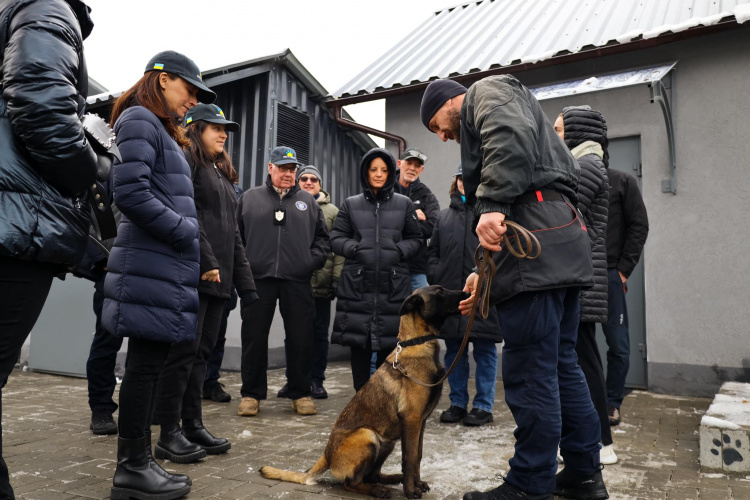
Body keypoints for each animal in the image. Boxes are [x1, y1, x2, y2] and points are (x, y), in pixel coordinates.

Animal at [262, 288, 468, 498]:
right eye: (440, 292)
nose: (465, 293)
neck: (418, 342)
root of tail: (327, 455)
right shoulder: (411, 419)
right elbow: (409, 458)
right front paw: (411, 490)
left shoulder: (420, 422)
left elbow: (417, 455)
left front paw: (415, 484)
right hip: (368, 435)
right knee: (351, 483)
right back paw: (379, 490)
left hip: (387, 442)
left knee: (371, 475)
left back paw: (393, 479)